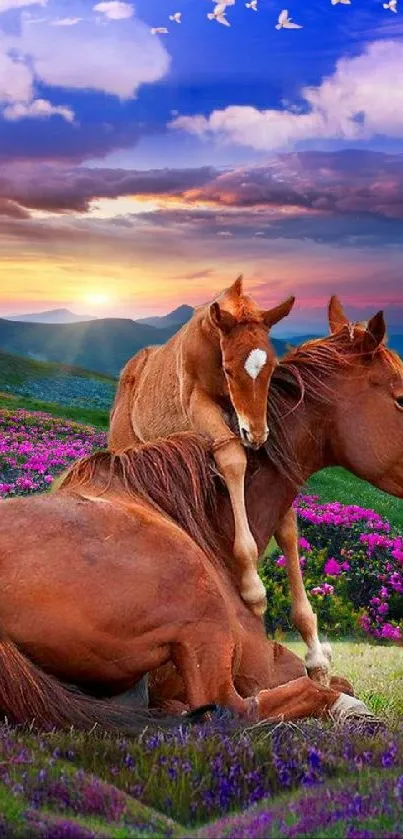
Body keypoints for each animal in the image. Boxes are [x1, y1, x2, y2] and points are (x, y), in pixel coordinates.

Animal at [109, 278, 296, 612]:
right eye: (229, 369)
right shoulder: (198, 403)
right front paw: (252, 587)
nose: (256, 435)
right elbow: (232, 458)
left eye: (273, 367)